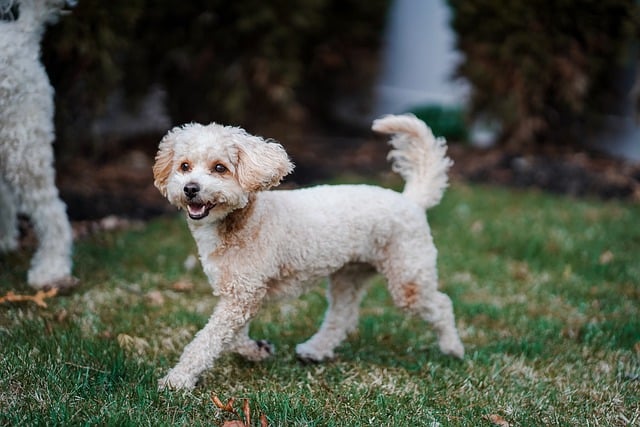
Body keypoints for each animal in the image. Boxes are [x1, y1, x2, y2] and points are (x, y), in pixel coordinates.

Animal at [155, 113, 464, 392]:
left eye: (220, 168)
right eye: (184, 166)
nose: (190, 188)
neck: (244, 221)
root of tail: (410, 200)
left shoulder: (242, 296)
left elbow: (207, 340)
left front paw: (177, 379)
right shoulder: (239, 295)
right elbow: (231, 337)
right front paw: (256, 350)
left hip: (408, 276)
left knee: (442, 304)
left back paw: (453, 348)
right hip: (348, 274)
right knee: (342, 316)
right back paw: (315, 350)